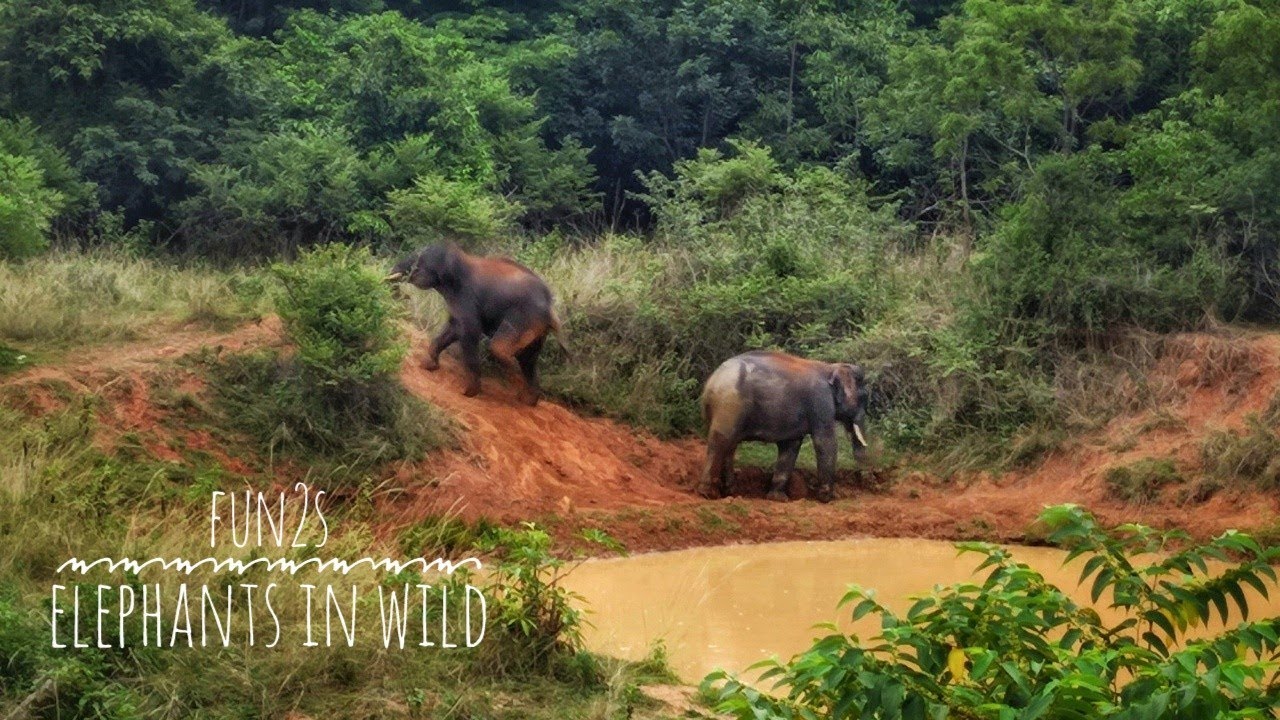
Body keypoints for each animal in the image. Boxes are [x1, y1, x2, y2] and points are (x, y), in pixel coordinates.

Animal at [386, 243, 563, 405]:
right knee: (529, 358)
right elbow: (453, 329)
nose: (406, 296)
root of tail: (551, 308)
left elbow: (469, 332)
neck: (460, 257)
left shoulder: (466, 297)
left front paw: (468, 392)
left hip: (524, 318)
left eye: (417, 264)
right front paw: (428, 365)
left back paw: (512, 378)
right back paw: (527, 400)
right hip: (537, 329)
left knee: (500, 348)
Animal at [697, 350, 868, 503]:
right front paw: (827, 498)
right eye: (864, 397)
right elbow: (824, 442)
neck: (830, 367)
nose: (861, 476)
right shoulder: (821, 401)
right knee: (721, 441)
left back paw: (730, 492)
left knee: (730, 444)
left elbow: (791, 445)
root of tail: (713, 381)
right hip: (730, 405)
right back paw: (709, 494)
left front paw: (778, 498)